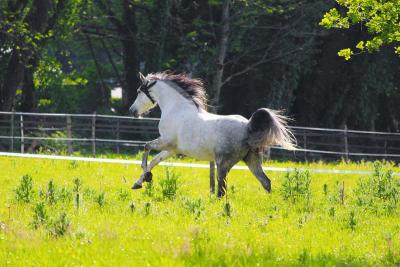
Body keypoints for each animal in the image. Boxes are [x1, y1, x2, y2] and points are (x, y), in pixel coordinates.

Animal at [130, 71, 296, 197]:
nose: (132, 111)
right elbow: (154, 161)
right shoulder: (172, 149)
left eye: (138, 92)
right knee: (265, 182)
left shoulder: (166, 141)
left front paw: (147, 177)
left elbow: (146, 148)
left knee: (222, 190)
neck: (176, 109)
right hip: (251, 160)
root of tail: (248, 126)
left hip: (223, 163)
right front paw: (138, 183)